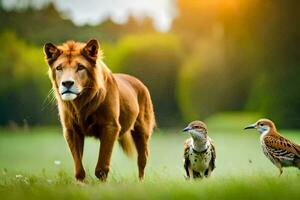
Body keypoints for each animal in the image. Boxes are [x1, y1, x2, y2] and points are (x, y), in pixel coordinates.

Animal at [44, 38, 155, 181]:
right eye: (59, 68)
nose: (67, 83)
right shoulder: (71, 130)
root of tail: (138, 81)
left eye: (80, 67)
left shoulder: (110, 126)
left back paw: (140, 182)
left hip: (142, 131)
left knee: (142, 159)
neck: (81, 102)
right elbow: (79, 169)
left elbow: (102, 167)